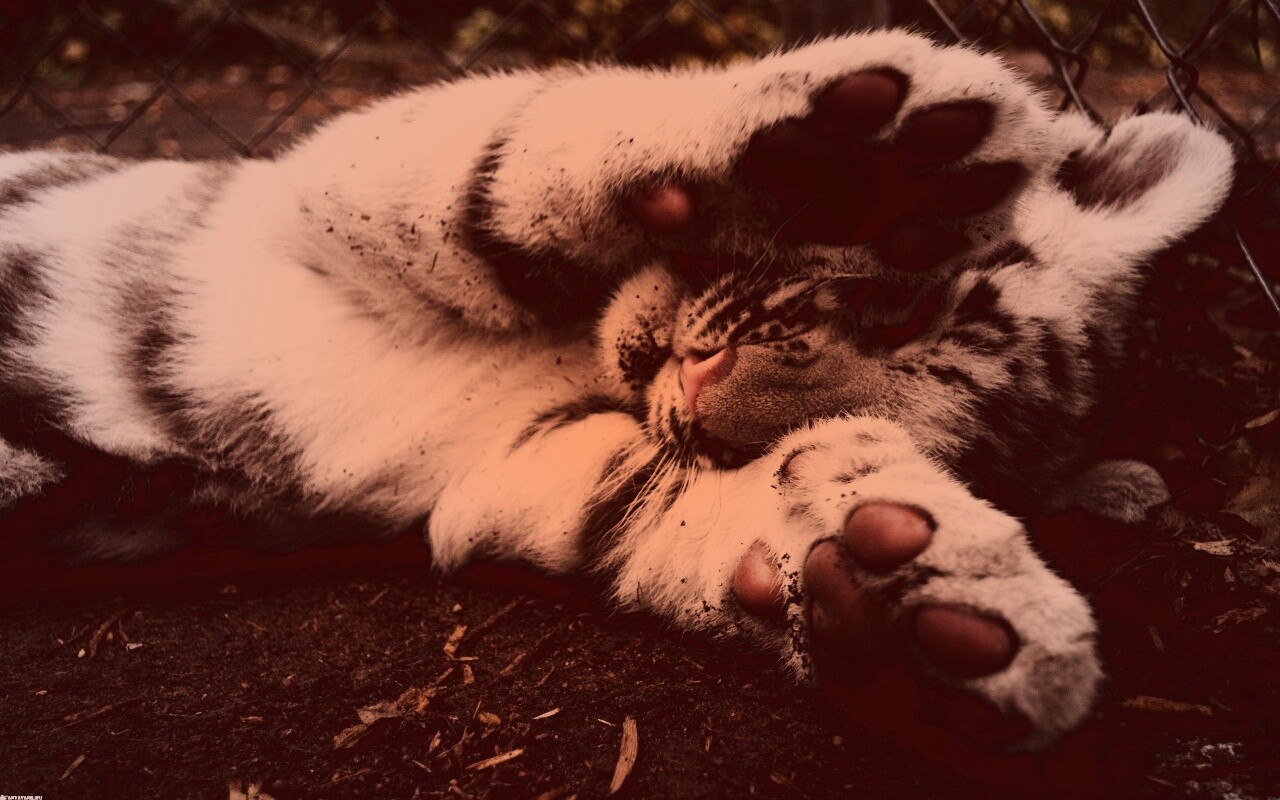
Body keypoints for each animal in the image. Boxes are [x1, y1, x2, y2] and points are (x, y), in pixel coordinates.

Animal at [0, 30, 1234, 751]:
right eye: (900, 308)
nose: (695, 401)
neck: (569, 349)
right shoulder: (318, 191)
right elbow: (515, 142)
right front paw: (845, 167)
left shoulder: (490, 478)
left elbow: (658, 500)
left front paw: (904, 591)